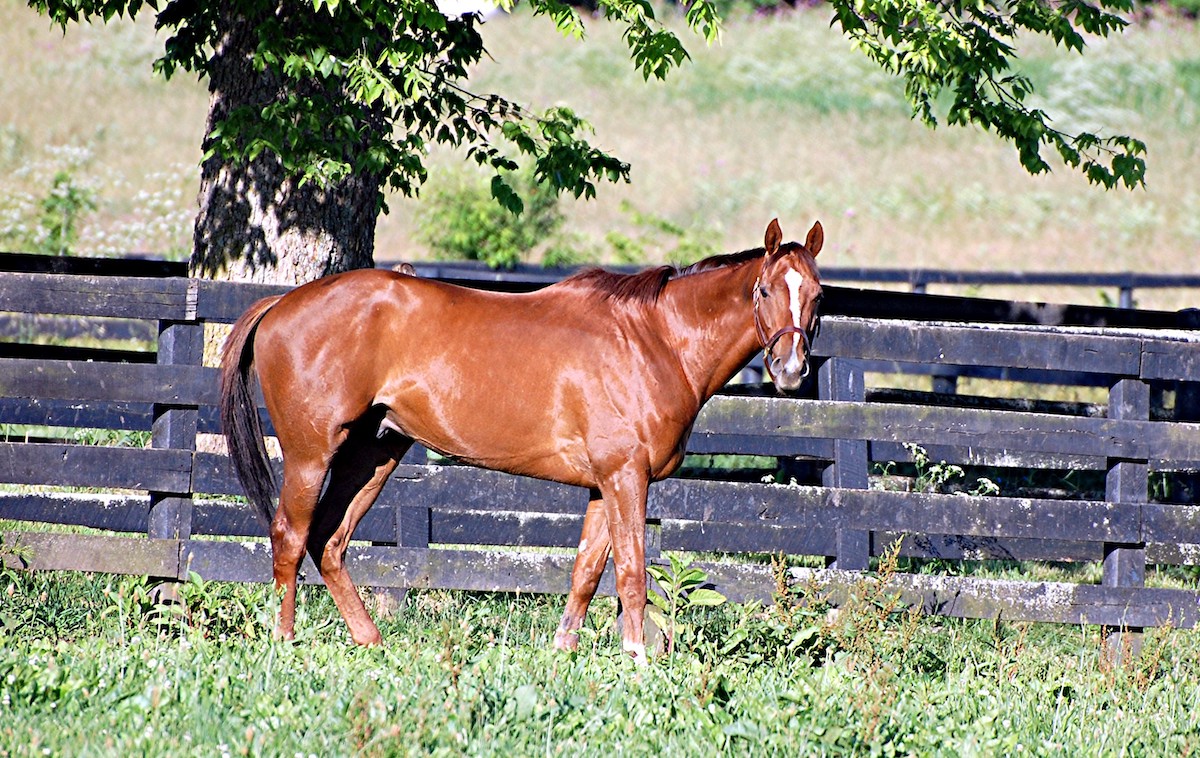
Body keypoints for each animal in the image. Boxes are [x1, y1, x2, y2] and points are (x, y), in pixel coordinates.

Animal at [220, 215, 820, 662]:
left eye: (815, 295)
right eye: (764, 290)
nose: (792, 371)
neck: (654, 341)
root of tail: (282, 304)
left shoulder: (604, 484)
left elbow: (585, 573)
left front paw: (564, 653)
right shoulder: (627, 477)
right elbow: (631, 574)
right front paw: (638, 662)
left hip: (376, 452)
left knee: (330, 539)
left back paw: (370, 641)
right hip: (312, 454)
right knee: (290, 536)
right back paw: (286, 642)